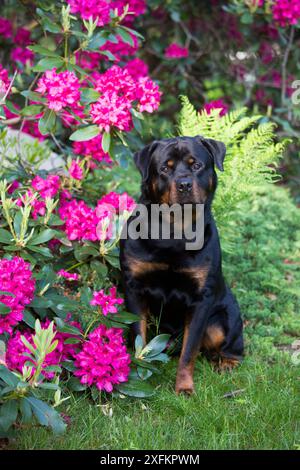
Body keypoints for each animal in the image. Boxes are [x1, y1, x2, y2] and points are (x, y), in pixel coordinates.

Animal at [119, 137, 244, 396]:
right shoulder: (134, 289)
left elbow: (190, 351)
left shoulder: (201, 300)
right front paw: (139, 373)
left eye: (196, 165)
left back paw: (226, 363)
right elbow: (138, 336)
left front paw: (184, 387)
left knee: (230, 345)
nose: (184, 184)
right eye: (164, 169)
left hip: (223, 319)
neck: (173, 232)